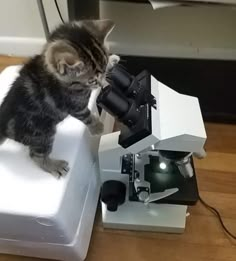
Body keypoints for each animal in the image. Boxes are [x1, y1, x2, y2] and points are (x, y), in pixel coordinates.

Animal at [0, 19, 119, 178]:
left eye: (104, 70)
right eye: (92, 81)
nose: (100, 84)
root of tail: (3, 126)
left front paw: (111, 60)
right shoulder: (73, 104)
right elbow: (86, 115)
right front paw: (97, 127)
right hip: (42, 134)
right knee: (36, 155)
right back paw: (54, 166)